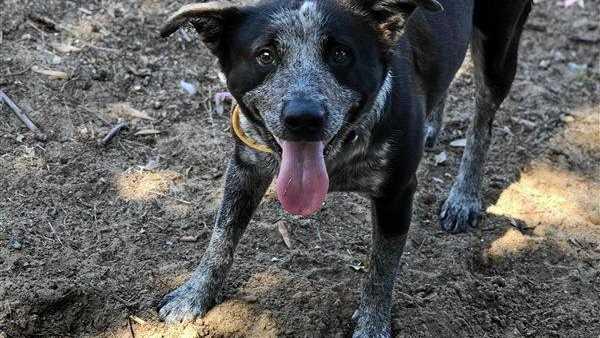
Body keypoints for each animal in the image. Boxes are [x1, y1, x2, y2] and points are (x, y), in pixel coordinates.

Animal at [157, 0, 532, 336]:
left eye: (340, 54)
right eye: (265, 56)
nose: (303, 119)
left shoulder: (397, 193)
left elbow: (382, 268)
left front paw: (372, 326)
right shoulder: (245, 166)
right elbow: (221, 237)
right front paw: (194, 295)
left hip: (499, 49)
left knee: (482, 122)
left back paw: (464, 196)